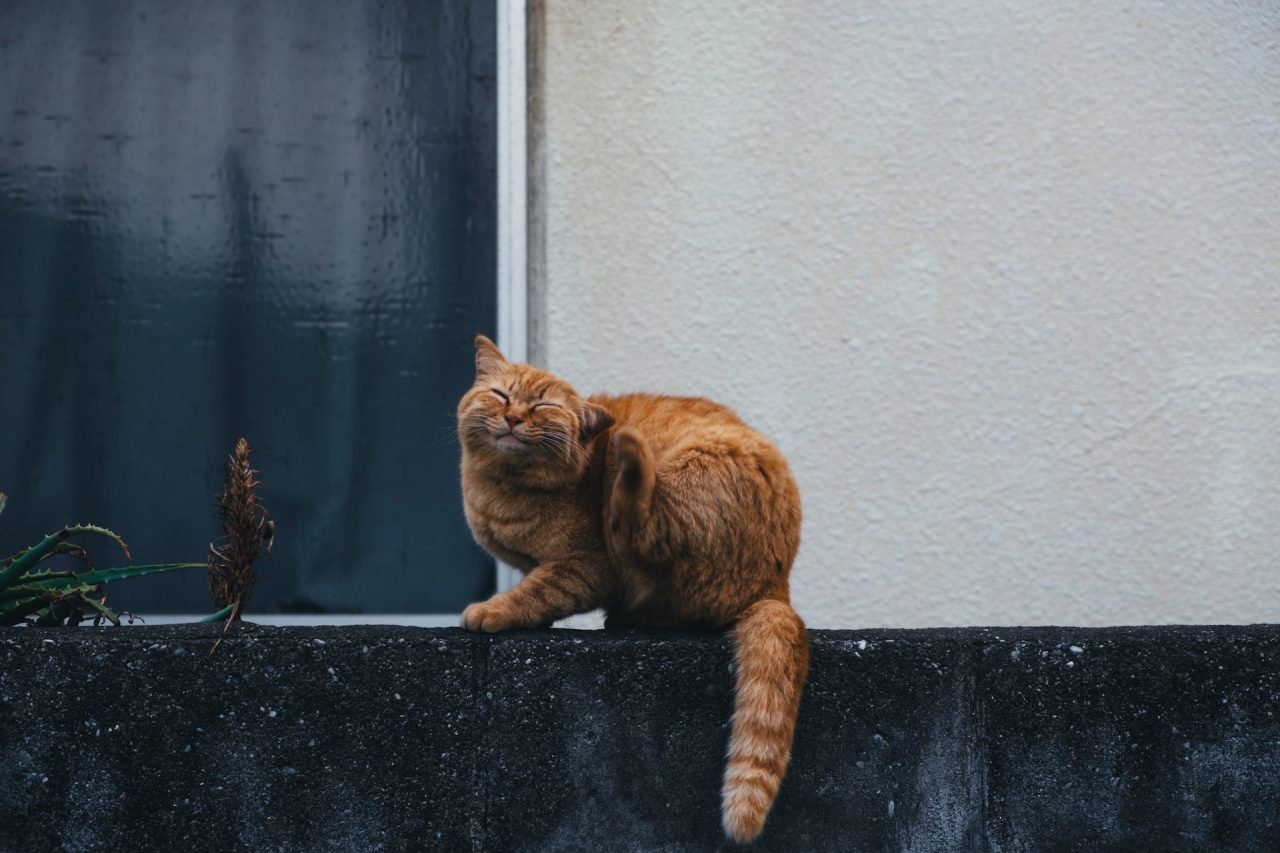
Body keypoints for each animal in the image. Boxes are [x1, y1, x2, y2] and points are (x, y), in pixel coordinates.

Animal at [455, 335, 803, 840]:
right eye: (501, 395)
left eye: (542, 406)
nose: (514, 417)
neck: (501, 491)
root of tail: (777, 584)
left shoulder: (584, 568)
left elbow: (534, 592)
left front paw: (492, 610)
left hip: (682, 478)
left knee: (639, 523)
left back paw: (629, 461)